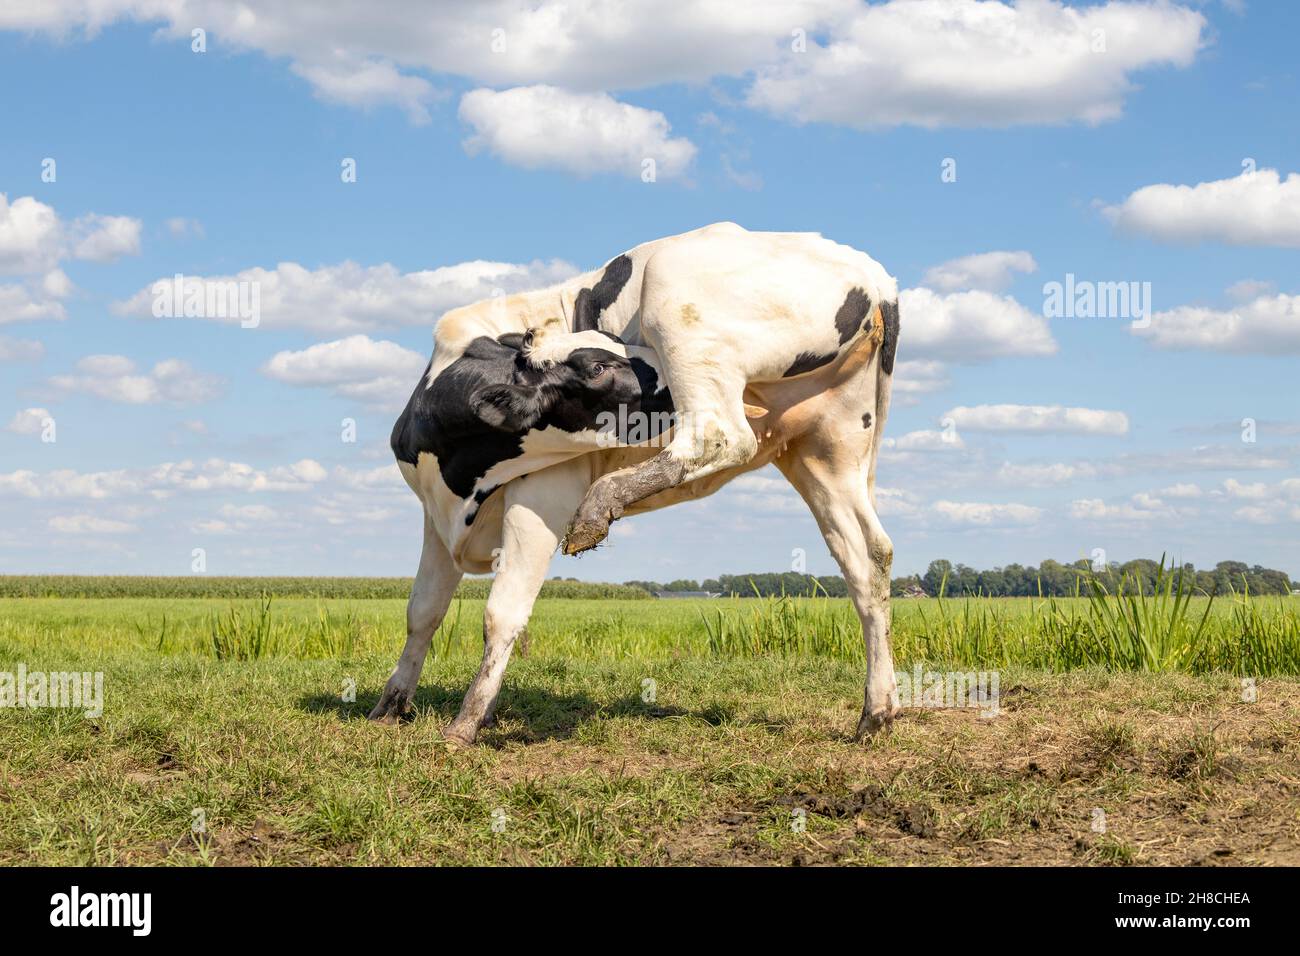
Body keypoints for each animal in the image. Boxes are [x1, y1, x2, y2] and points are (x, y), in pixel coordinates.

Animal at [372, 222, 901, 746]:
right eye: (599, 366)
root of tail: (875, 274)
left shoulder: (544, 492)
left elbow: (501, 613)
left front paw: (465, 723)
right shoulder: (435, 515)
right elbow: (422, 611)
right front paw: (391, 706)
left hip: (675, 296)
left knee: (720, 434)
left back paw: (599, 507)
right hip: (828, 451)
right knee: (868, 556)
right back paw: (877, 711)